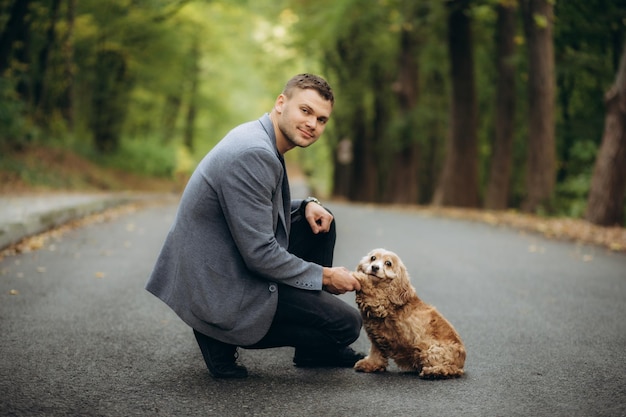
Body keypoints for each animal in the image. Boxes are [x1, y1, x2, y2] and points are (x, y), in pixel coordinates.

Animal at [352, 249, 464, 378]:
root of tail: (462, 360)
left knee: (452, 369)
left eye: (388, 263)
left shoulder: (380, 303)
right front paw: (371, 364)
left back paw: (433, 371)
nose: (374, 267)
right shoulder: (376, 336)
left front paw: (357, 276)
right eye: (373, 258)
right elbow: (376, 351)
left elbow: (370, 290)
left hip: (431, 350)